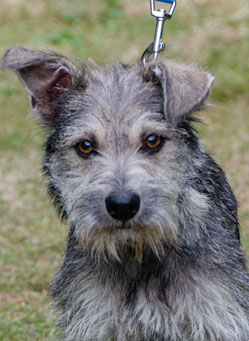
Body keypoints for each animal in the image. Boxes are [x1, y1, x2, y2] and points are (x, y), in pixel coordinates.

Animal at [1, 46, 249, 338]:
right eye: (85, 146)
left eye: (152, 140)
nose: (122, 205)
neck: (140, 254)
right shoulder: (97, 321)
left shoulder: (218, 318)